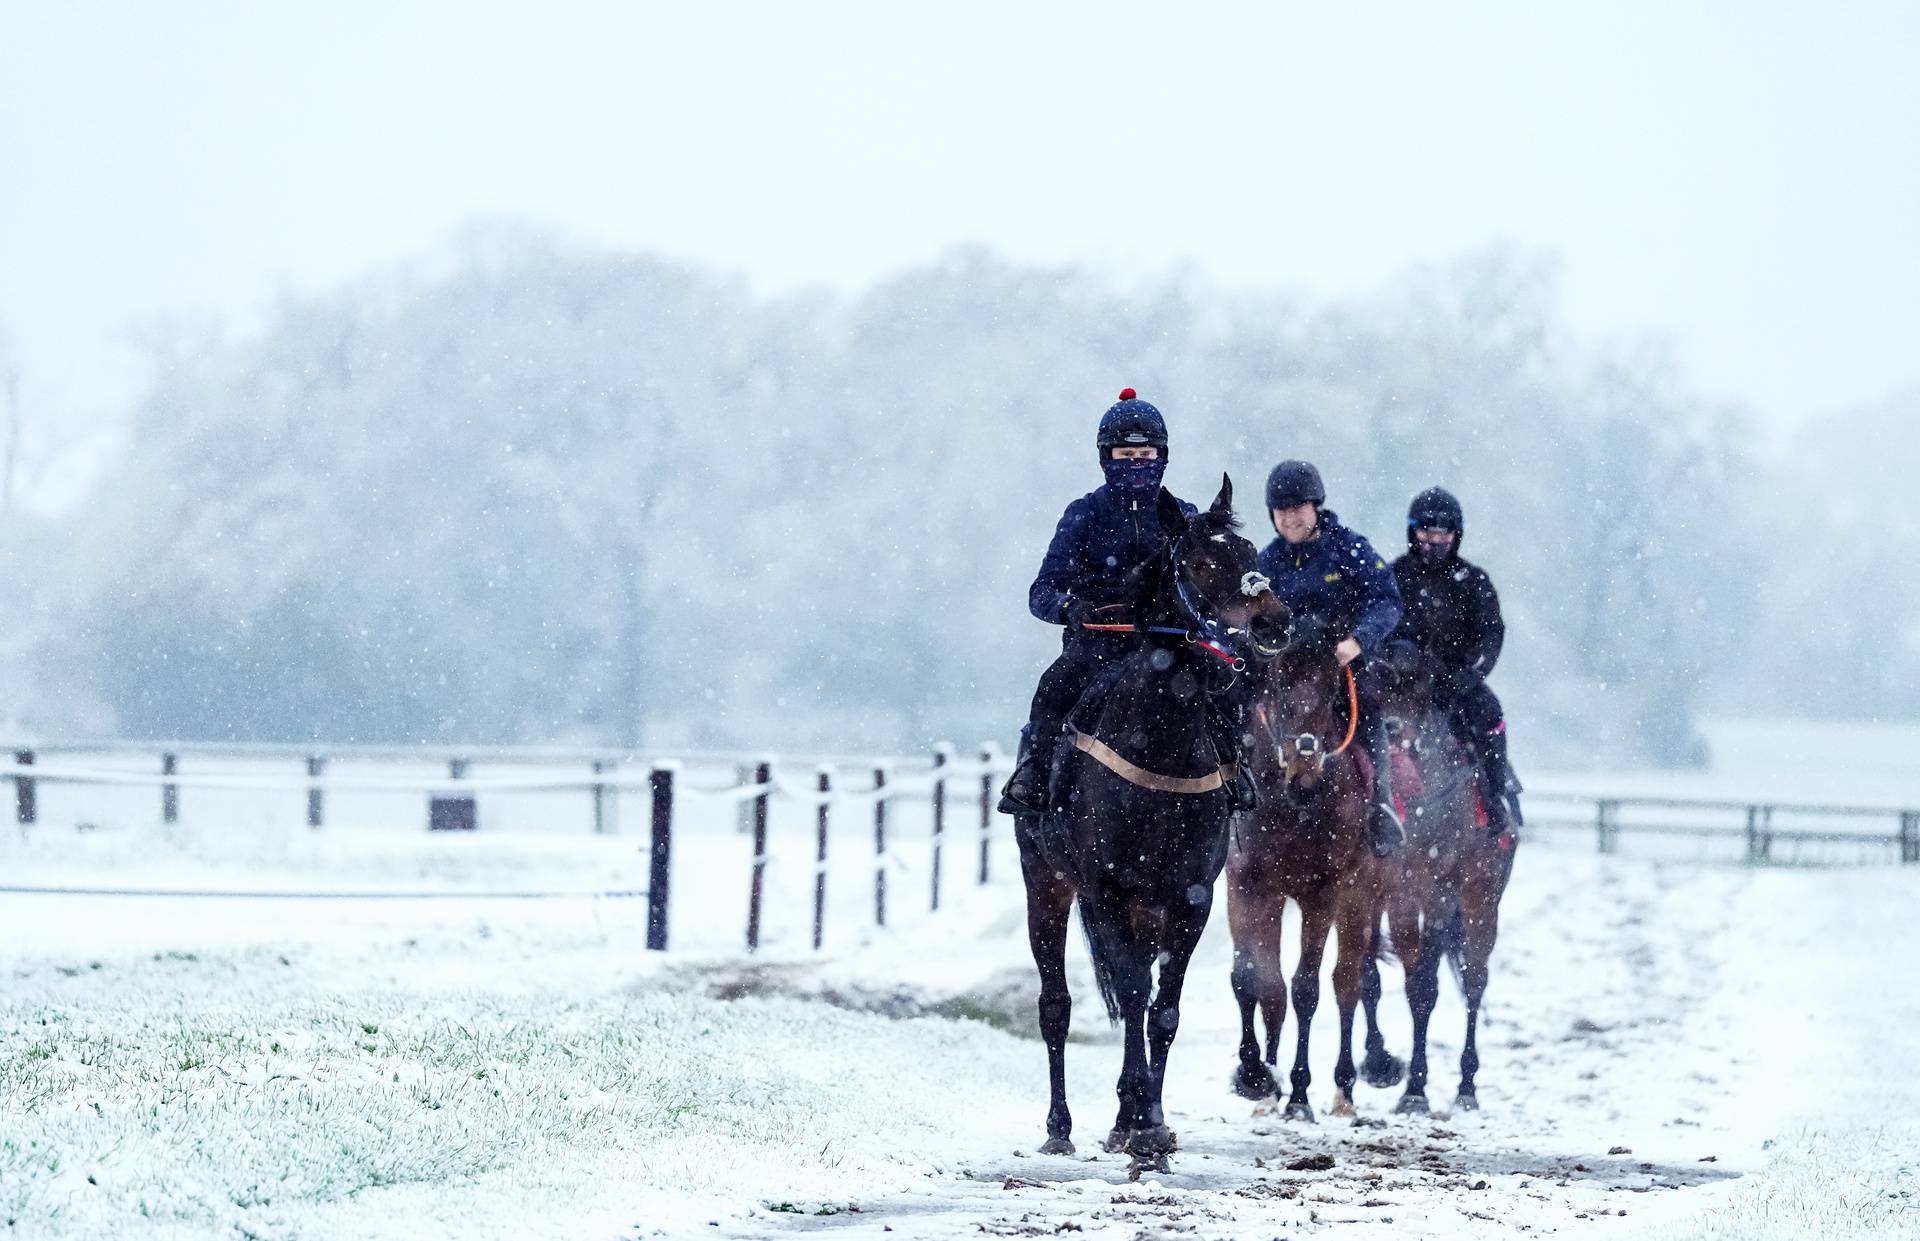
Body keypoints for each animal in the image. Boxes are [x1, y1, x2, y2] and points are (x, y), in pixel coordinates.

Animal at [1006, 476, 1290, 1175]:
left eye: (1250, 552)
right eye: (1200, 561)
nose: (1272, 622)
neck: (1158, 747)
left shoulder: (1190, 897)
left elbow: (1163, 1011)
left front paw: (1151, 1126)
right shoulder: (1104, 887)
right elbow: (1133, 995)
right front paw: (1136, 1121)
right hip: (1045, 884)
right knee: (1056, 1004)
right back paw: (1060, 1127)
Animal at [1221, 633, 1405, 1129]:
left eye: (1329, 689)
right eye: (1280, 686)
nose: (1304, 766)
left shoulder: (1321, 894)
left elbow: (1306, 988)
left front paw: (1299, 1094)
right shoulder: (1247, 886)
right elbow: (1256, 982)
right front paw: (1256, 1079)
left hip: (1359, 898)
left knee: (1348, 984)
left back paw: (1344, 1090)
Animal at [1374, 645, 1520, 1114]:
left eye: (1420, 688)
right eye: (1377, 686)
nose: (1391, 728)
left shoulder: (1439, 891)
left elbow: (1427, 986)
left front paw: (1416, 1089)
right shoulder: (1400, 894)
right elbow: (1413, 983)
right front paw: (1407, 1083)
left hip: (1481, 901)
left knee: (1475, 981)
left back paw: (1467, 1087)